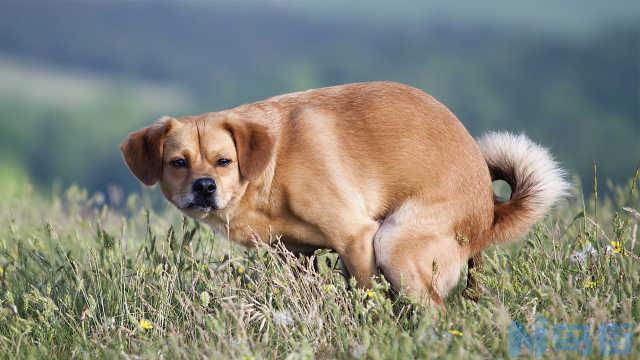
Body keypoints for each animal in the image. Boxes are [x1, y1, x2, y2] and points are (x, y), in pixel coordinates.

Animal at [121, 81, 568, 310]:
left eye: (223, 161)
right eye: (178, 162)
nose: (204, 186)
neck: (271, 167)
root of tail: (490, 214)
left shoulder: (357, 237)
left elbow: (369, 292)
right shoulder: (294, 254)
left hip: (394, 242)